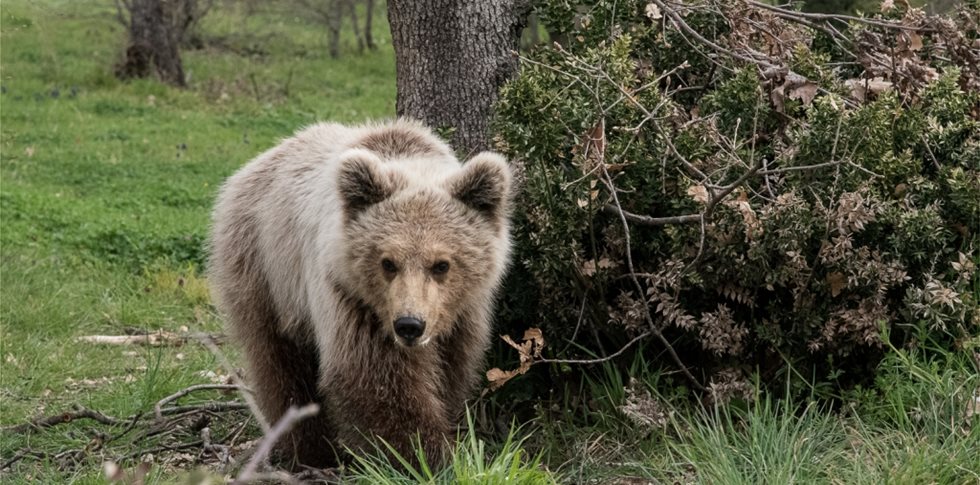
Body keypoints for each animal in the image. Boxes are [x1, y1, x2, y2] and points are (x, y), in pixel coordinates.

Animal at [207, 119, 512, 466]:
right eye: (388, 262)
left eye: (441, 264)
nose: (409, 325)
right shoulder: (350, 299)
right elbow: (372, 377)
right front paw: (423, 453)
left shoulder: (463, 314)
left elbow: (454, 367)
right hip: (265, 270)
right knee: (279, 360)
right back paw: (310, 448)